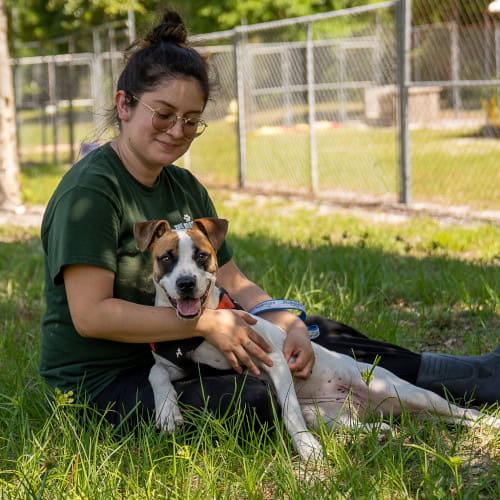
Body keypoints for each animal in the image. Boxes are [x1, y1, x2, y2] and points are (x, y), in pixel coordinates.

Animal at [134, 217, 500, 462]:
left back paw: (489, 422)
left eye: (202, 256)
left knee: (460, 410)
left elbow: (290, 412)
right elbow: (155, 372)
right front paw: (167, 412)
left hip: (405, 391)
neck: (203, 327)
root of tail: (367, 403)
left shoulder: (275, 361)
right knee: (373, 423)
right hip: (330, 414)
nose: (185, 284)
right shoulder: (175, 364)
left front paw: (307, 448)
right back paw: (380, 431)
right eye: (166, 257)